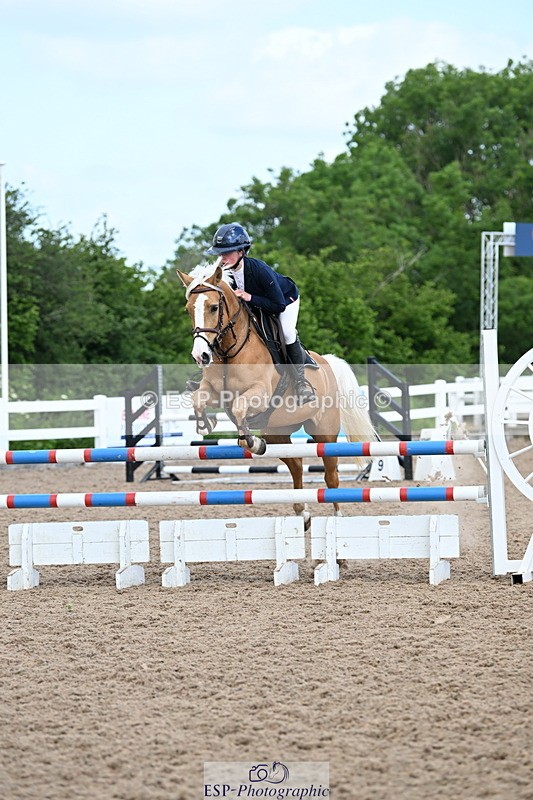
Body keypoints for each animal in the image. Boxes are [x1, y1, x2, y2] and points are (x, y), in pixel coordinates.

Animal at [176, 263, 377, 522]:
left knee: (331, 475)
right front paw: (205, 425)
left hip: (325, 432)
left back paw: (337, 515)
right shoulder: (213, 391)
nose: (200, 356)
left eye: (213, 307)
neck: (230, 351)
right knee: (296, 465)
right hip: (277, 432)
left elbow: (240, 408)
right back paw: (302, 512)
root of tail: (327, 363)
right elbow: (198, 399)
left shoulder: (259, 393)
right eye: (188, 309)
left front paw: (250, 441)